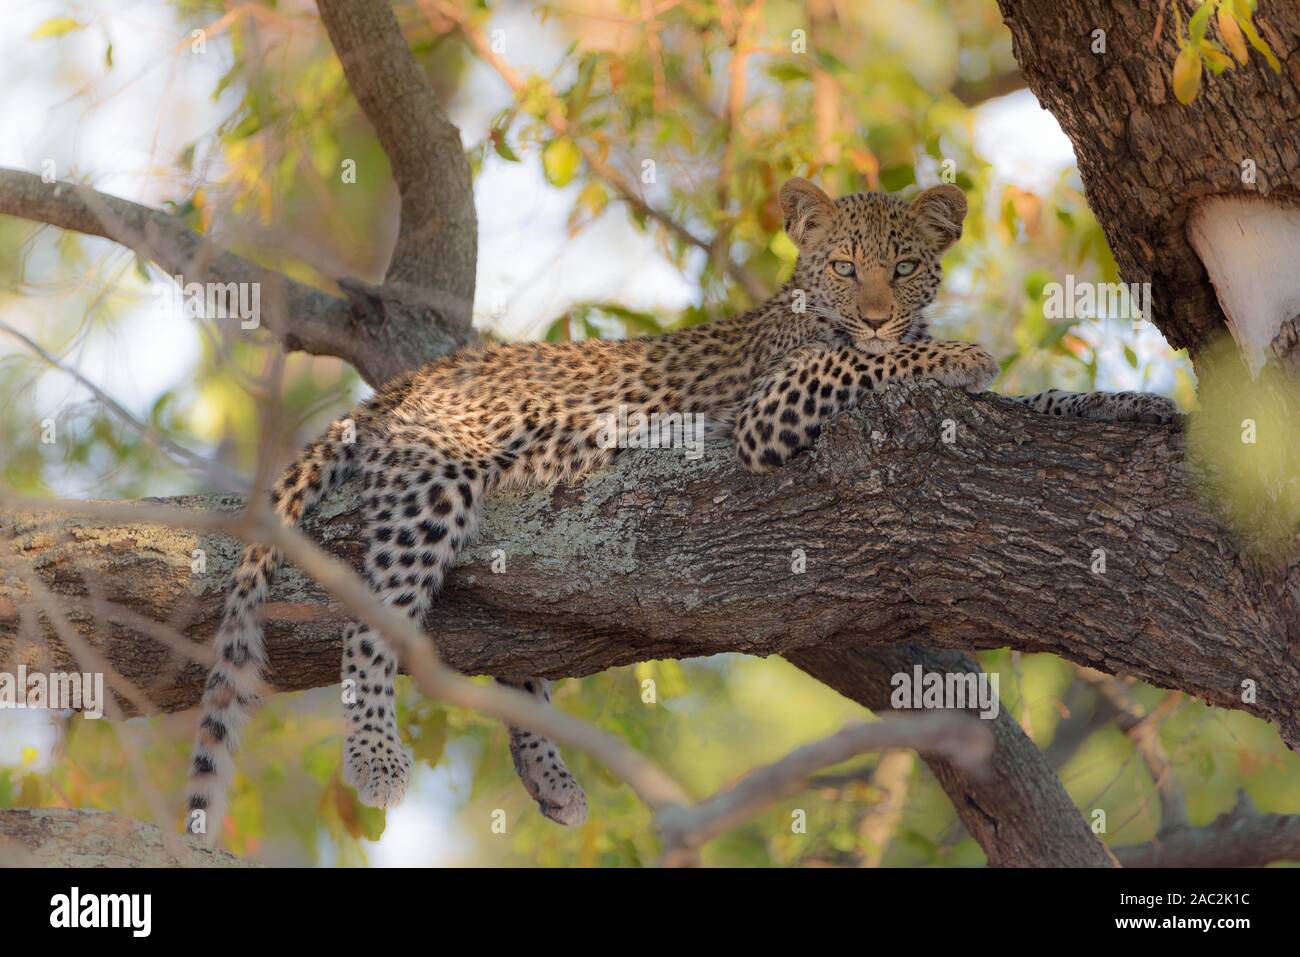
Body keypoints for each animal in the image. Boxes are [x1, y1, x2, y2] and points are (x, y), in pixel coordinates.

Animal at [185, 177, 1178, 839]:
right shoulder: (771, 411)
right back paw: (376, 756)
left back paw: (549, 775)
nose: (876, 312)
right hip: (438, 476)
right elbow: (857, 362)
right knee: (373, 618)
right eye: (844, 265)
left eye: (903, 265)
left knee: (511, 653)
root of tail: (414, 380)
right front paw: (961, 353)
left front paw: (1132, 403)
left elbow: (1032, 402)